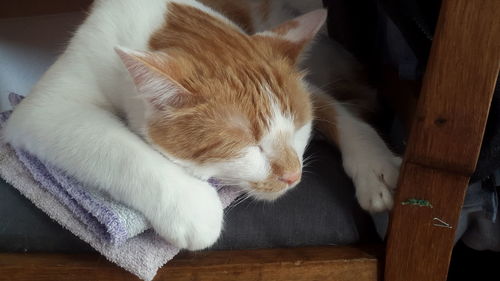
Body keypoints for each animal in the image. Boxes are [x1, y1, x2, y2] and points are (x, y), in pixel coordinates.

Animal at [1, 0, 400, 249]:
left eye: (298, 129)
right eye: (249, 146)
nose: (293, 176)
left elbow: (328, 106)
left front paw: (373, 161)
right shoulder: (48, 106)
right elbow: (115, 145)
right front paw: (194, 208)